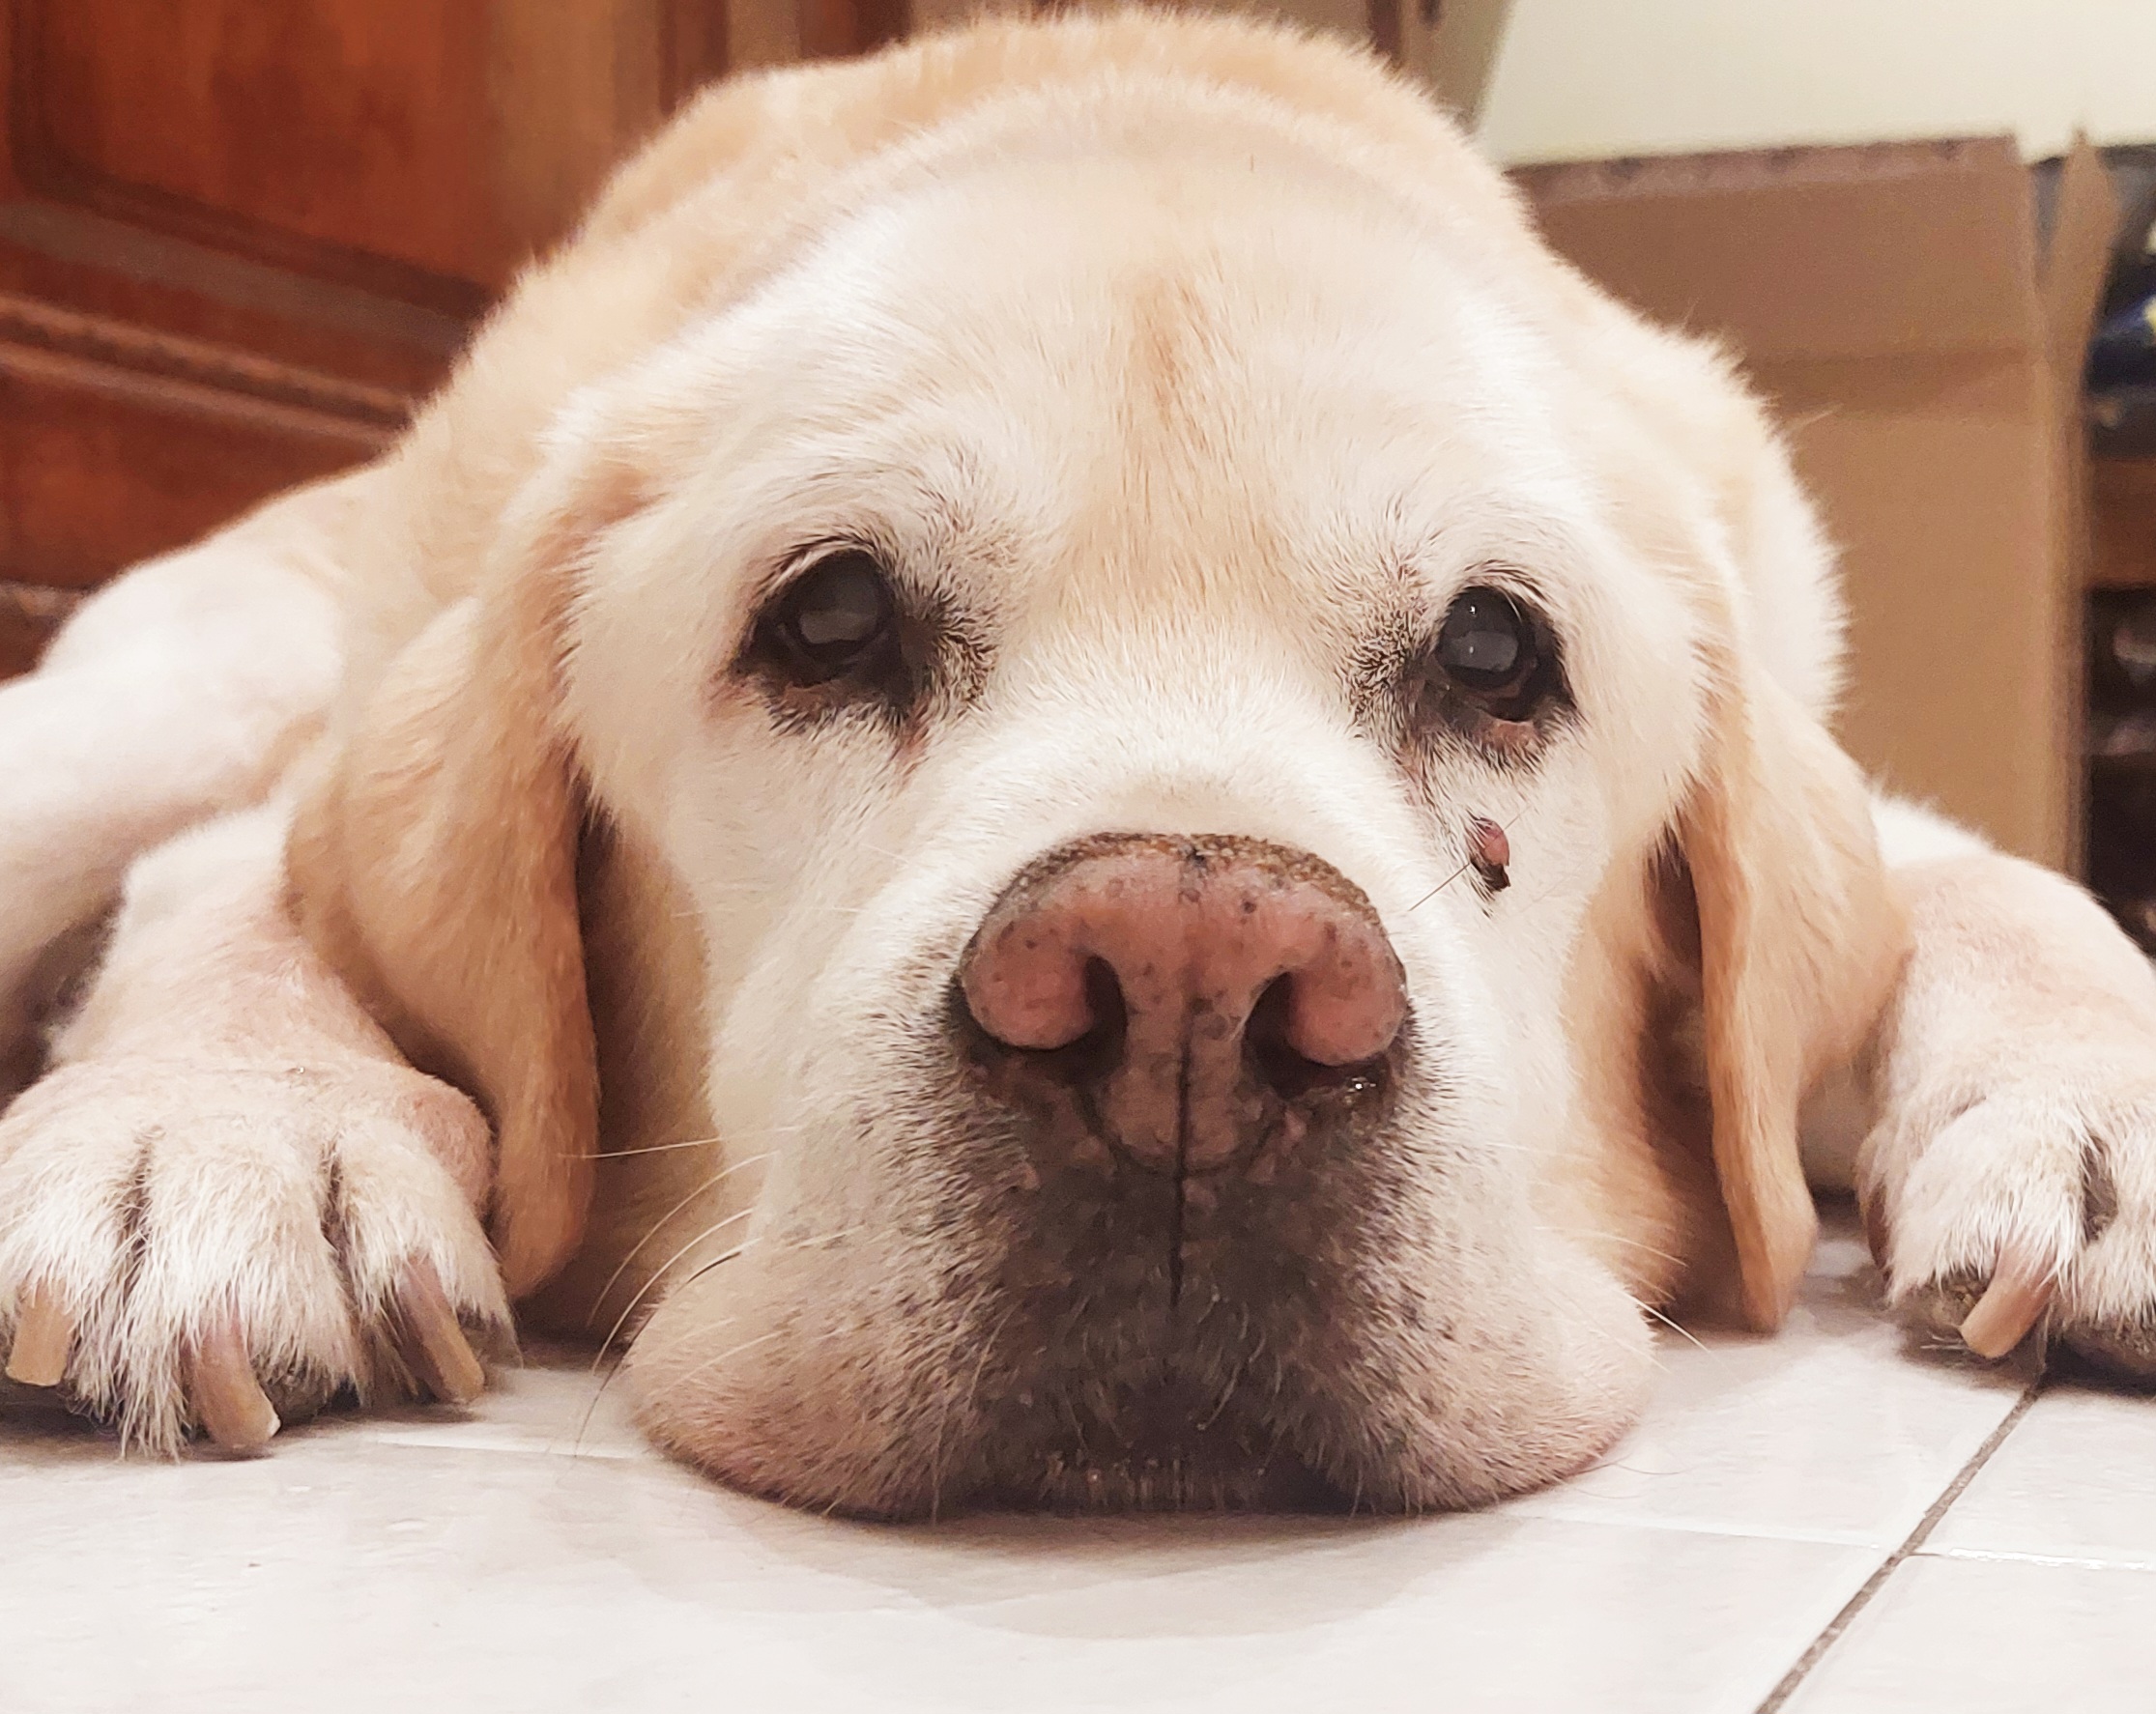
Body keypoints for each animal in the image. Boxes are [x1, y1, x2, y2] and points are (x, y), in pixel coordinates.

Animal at [4, 8, 2156, 1518]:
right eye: (827, 617)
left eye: (1493, 650)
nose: (1189, 987)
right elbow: (236, 893)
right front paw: (219, 1133)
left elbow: (2008, 886)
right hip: (166, 694)